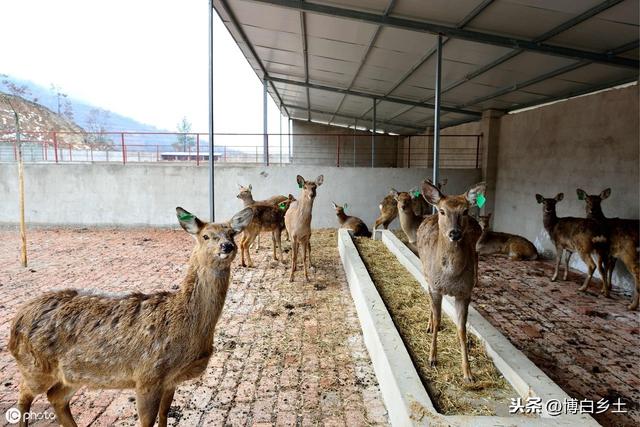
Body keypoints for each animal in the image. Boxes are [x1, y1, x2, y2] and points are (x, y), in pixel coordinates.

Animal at [8, 206, 252, 427]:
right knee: (24, 395)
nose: (227, 246)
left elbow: (164, 416)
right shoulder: (148, 375)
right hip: (35, 365)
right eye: (205, 236)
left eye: (232, 232)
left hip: (72, 374)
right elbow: (147, 421)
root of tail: (15, 325)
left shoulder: (170, 380)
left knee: (56, 398)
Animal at [416, 179, 484, 382]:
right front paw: (432, 359)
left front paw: (468, 373)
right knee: (429, 301)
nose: (455, 233)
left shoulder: (465, 293)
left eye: (465, 211)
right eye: (442, 211)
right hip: (425, 272)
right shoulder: (435, 287)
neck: (450, 277)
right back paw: (429, 325)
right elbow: (438, 319)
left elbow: (462, 329)